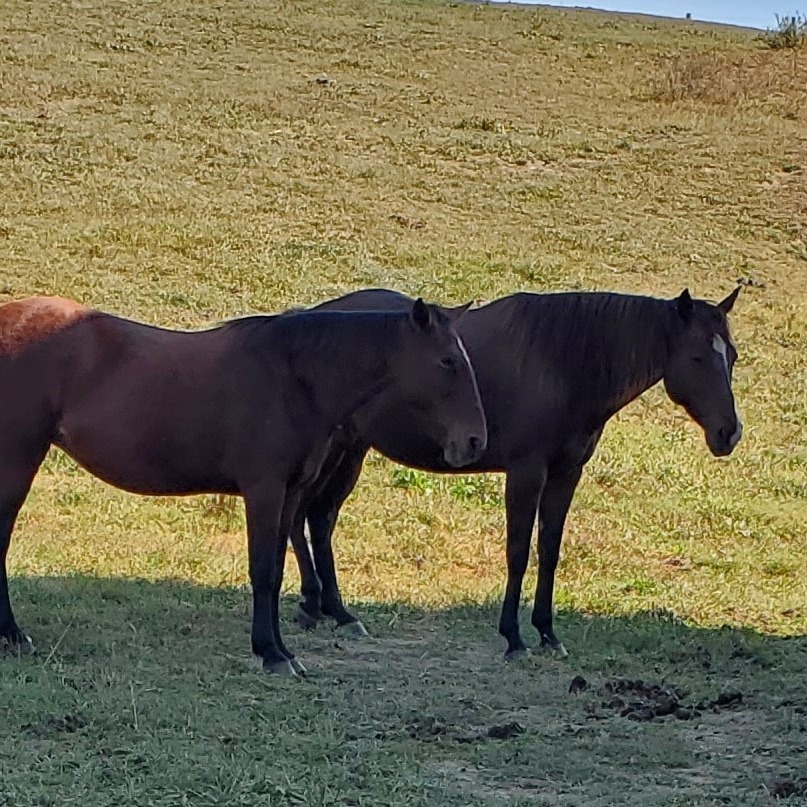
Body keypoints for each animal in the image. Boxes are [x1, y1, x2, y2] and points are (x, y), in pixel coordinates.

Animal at [0, 295, 487, 675]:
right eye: (448, 361)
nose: (474, 441)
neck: (294, 377)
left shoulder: (290, 494)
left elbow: (277, 568)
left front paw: (281, 649)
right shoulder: (264, 490)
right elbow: (263, 570)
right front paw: (270, 652)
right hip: (18, 459)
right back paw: (13, 634)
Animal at [288, 286, 743, 658]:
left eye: (732, 356)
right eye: (697, 356)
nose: (729, 432)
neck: (561, 364)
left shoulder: (566, 474)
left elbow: (550, 550)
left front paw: (547, 633)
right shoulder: (526, 473)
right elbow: (518, 552)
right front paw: (514, 637)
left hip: (351, 452)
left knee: (320, 519)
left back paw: (337, 611)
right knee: (301, 517)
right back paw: (313, 604)